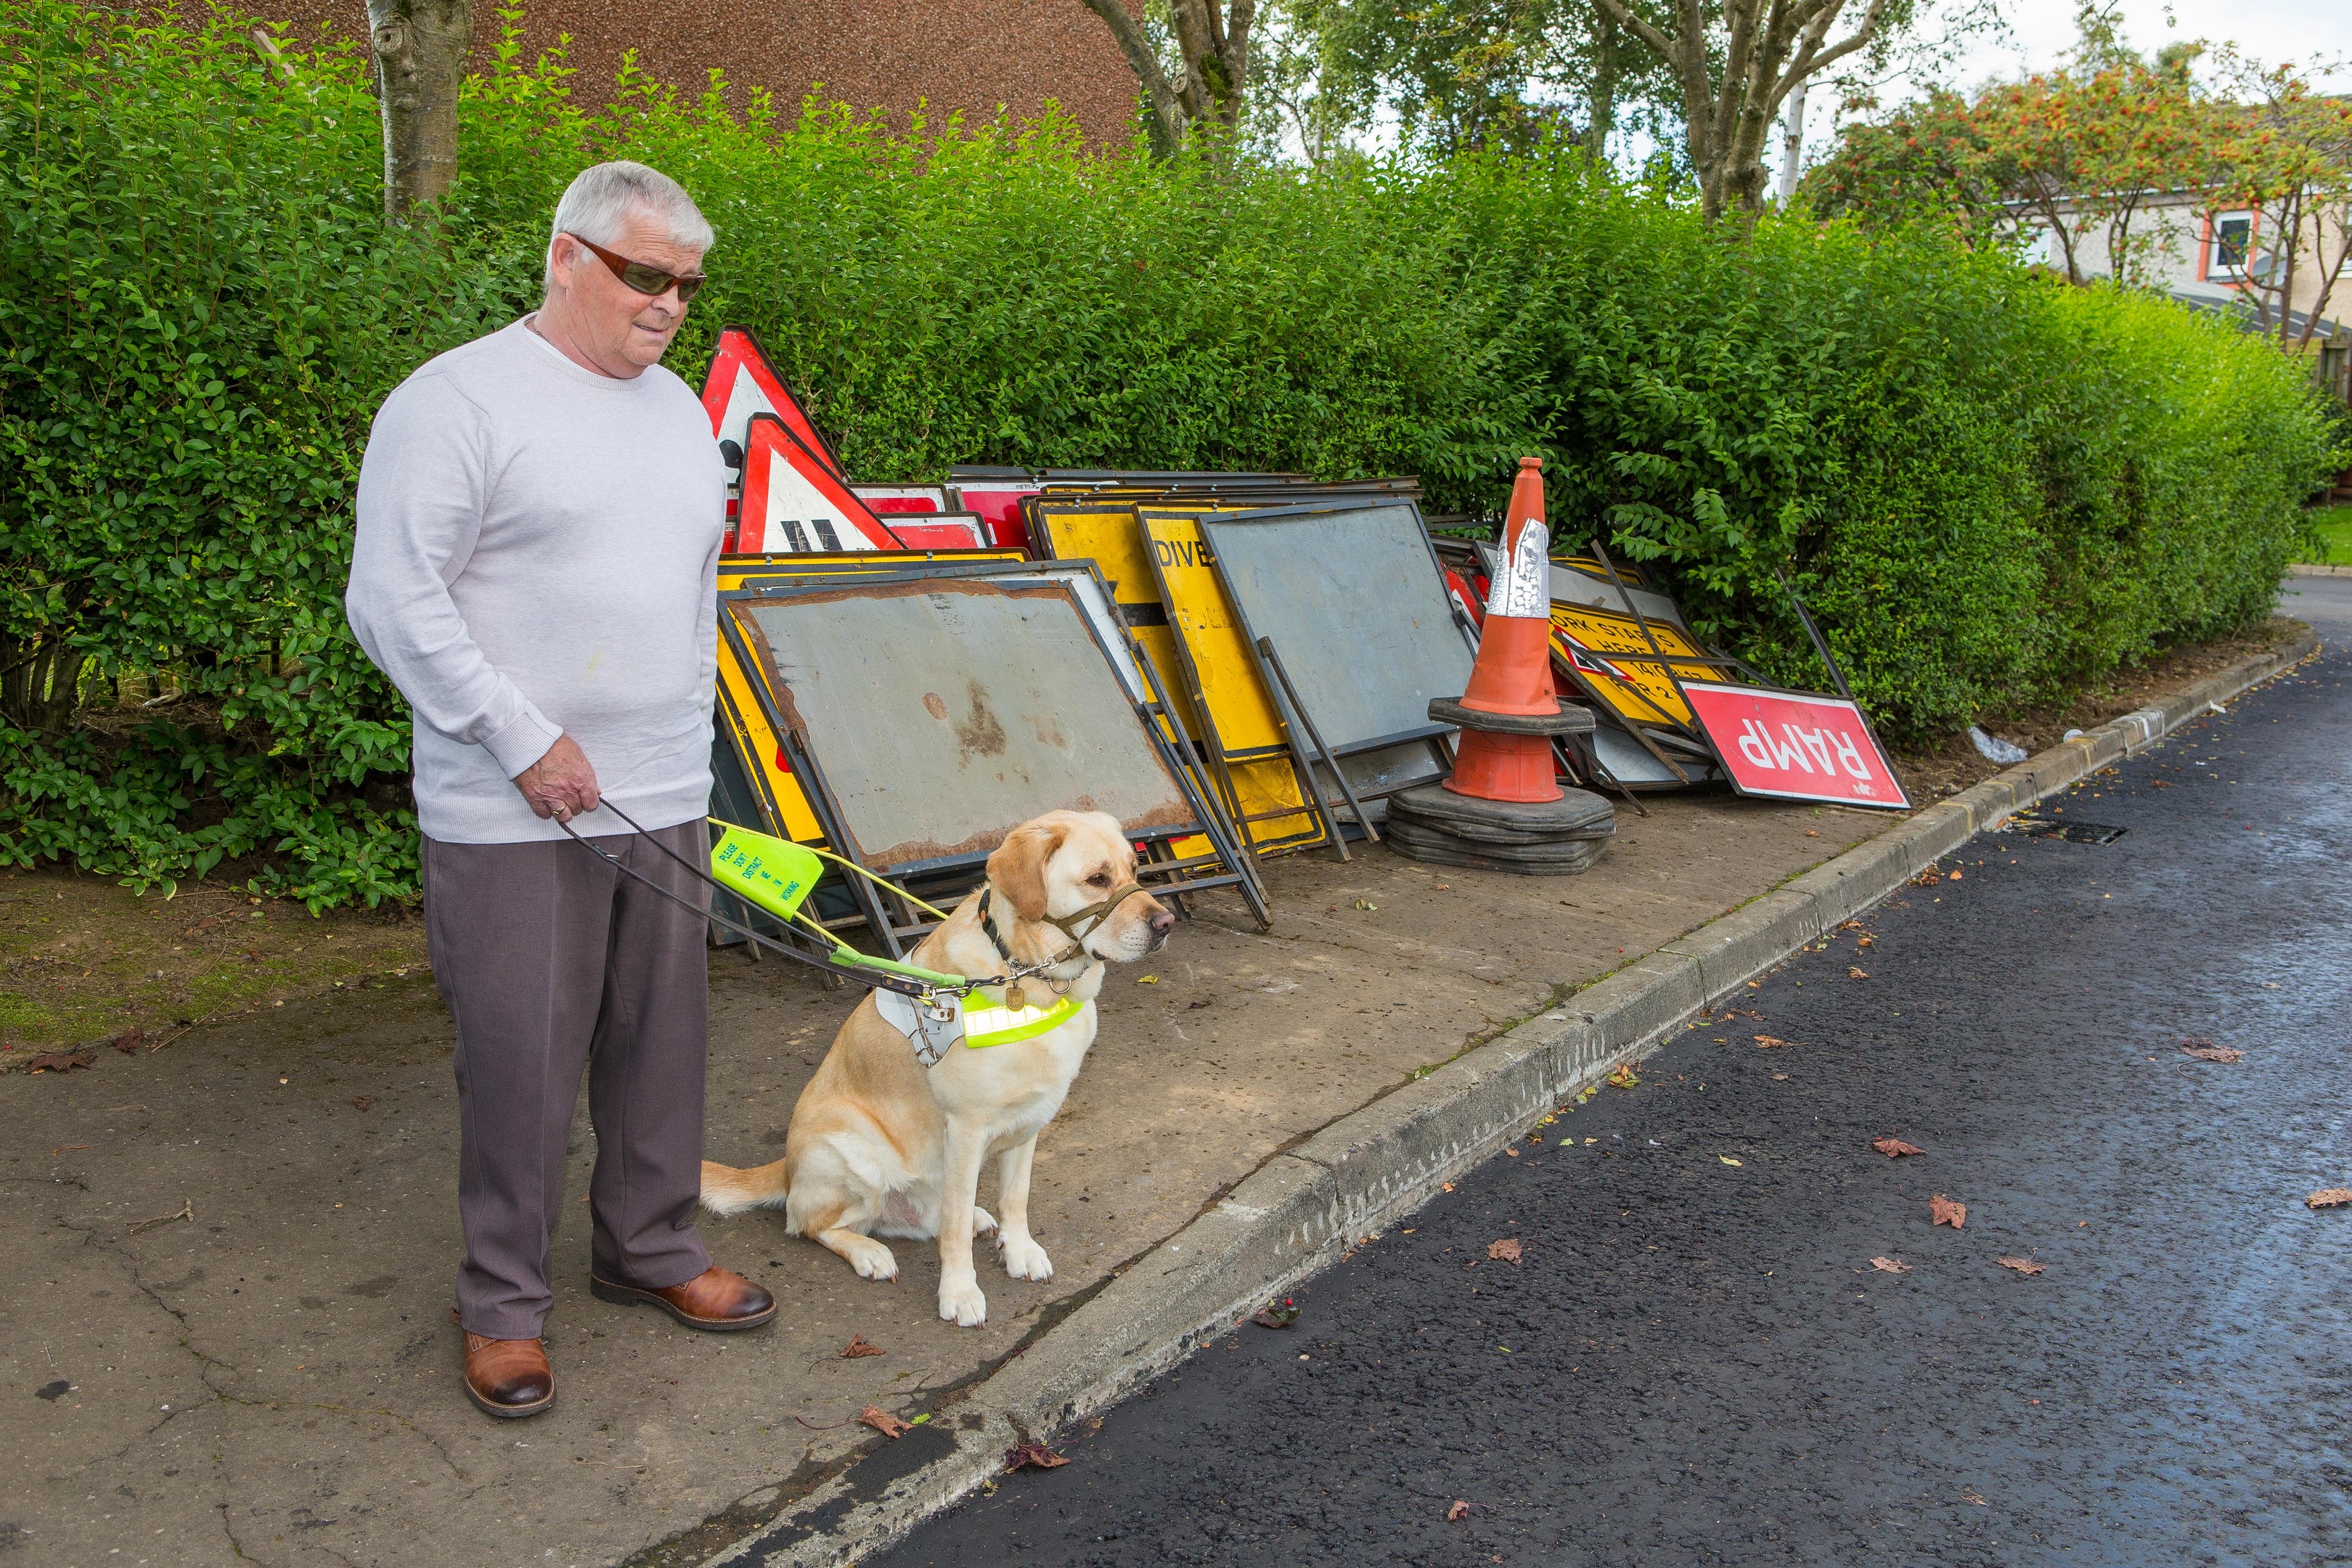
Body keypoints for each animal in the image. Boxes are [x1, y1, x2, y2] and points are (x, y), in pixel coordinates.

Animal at [696, 817, 1176, 1335]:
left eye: (1134, 869)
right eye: (1097, 879)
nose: (1167, 924)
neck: (1026, 975)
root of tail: (785, 1167)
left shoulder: (1029, 1121)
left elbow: (1016, 1198)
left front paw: (1019, 1251)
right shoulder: (966, 1130)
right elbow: (954, 1235)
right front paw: (960, 1294)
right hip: (849, 1148)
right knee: (811, 1224)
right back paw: (869, 1253)